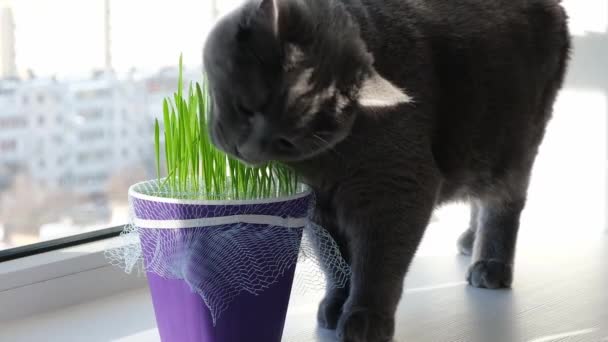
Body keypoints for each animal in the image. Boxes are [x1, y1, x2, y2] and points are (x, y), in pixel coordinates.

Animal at [203, 0, 568, 340]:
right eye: (246, 108)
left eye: (285, 141)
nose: (247, 152)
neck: (331, 160)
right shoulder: (318, 204)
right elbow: (333, 257)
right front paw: (335, 304)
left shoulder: (397, 186)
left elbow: (377, 261)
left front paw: (365, 318)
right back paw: (469, 239)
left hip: (515, 140)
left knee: (503, 205)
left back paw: (490, 265)